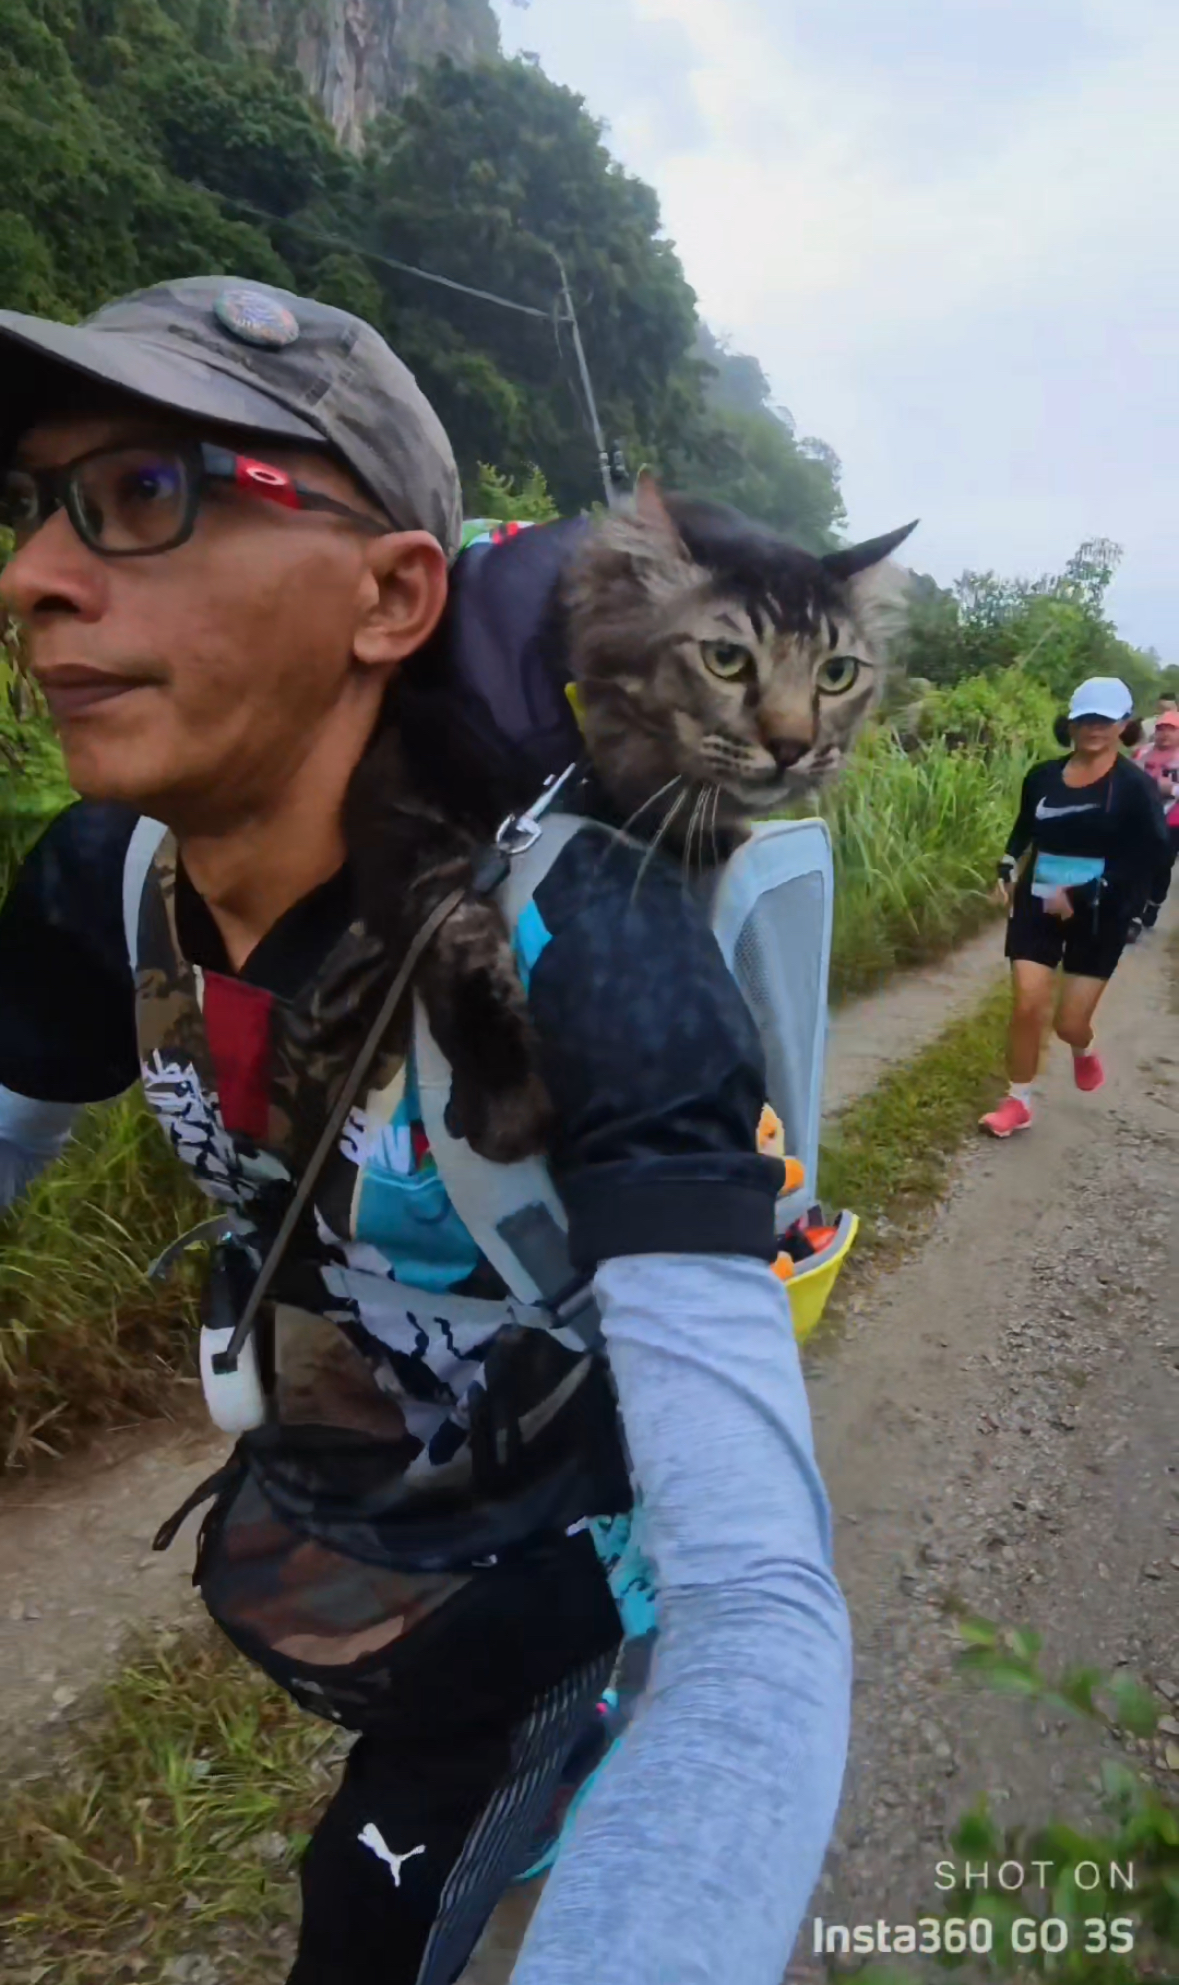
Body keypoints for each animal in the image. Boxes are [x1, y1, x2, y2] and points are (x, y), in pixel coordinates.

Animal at [343, 480, 913, 1159]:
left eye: (837, 674)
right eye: (727, 660)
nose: (792, 745)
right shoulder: (397, 786)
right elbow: (458, 935)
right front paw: (508, 1103)